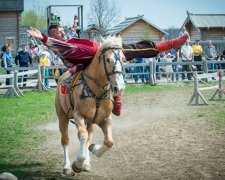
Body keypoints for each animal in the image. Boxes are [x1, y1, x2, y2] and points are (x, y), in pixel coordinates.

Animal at [54, 35, 125, 174]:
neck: (96, 93)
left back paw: (86, 162)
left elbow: (109, 142)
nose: (119, 88)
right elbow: (82, 136)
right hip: (62, 117)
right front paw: (77, 163)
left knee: (89, 138)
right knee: (65, 140)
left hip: (90, 122)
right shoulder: (78, 116)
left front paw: (93, 150)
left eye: (124, 59)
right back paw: (66, 166)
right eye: (108, 59)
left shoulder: (105, 119)